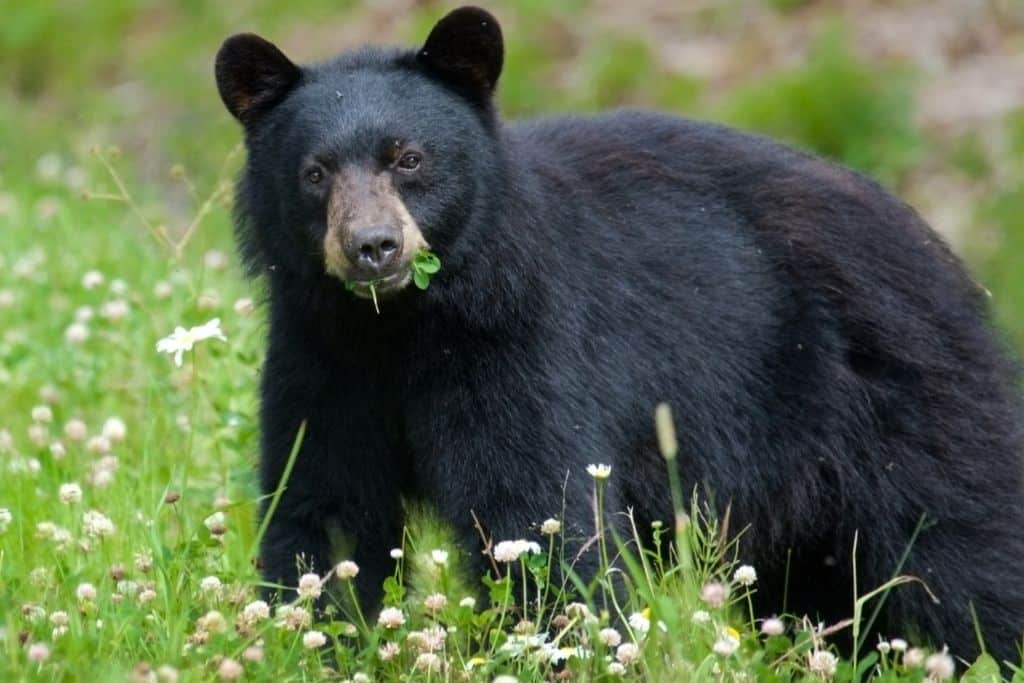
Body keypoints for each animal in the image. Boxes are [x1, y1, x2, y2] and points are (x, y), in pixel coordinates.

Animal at [216, 5, 1024, 663]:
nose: (374, 247)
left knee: (966, 551)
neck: (404, 326)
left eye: (409, 158)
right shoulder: (321, 355)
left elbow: (540, 512)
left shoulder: (525, 344)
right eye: (316, 173)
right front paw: (309, 642)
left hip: (903, 404)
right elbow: (323, 506)